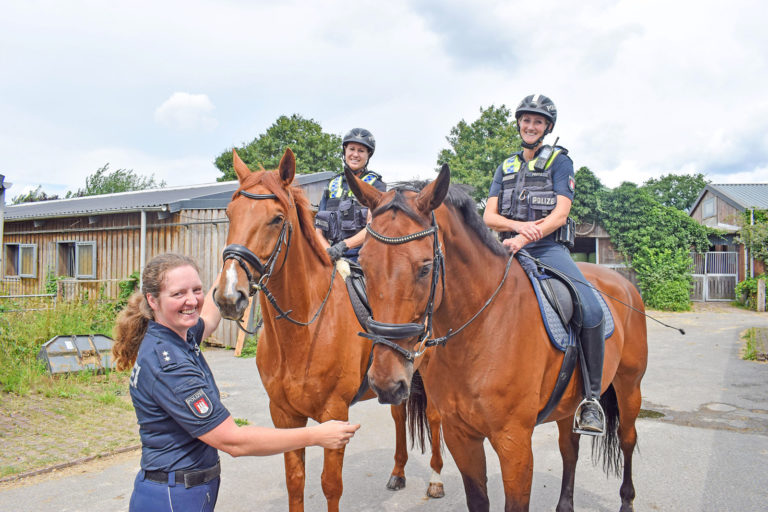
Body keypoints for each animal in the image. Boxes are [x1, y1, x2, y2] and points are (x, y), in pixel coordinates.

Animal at [213, 149, 448, 512]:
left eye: (276, 219)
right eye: (229, 213)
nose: (228, 296)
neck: (304, 331)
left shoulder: (333, 415)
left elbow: (330, 485)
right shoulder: (284, 415)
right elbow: (295, 481)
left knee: (434, 417)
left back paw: (435, 479)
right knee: (398, 415)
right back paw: (397, 473)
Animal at [348, 165, 648, 512]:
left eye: (424, 268)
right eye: (364, 265)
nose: (386, 382)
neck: (481, 331)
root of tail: (623, 283)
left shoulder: (514, 443)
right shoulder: (460, 437)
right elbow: (478, 498)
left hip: (629, 386)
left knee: (627, 439)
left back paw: (626, 501)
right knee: (569, 447)